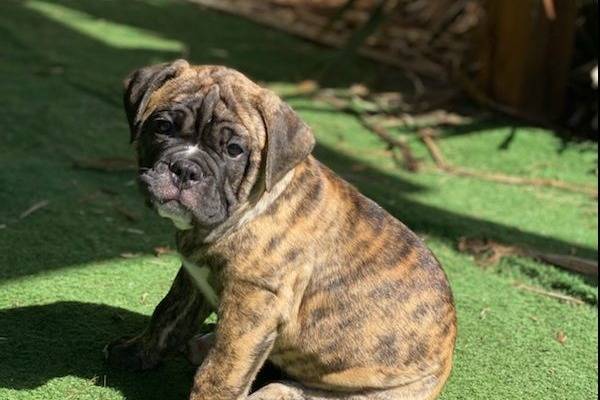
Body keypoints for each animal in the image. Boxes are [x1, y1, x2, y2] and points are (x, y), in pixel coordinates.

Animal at [104, 59, 457, 400]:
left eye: (234, 150)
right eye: (163, 127)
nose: (185, 169)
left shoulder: (253, 305)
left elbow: (222, 368)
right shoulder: (193, 277)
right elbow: (167, 316)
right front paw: (135, 352)